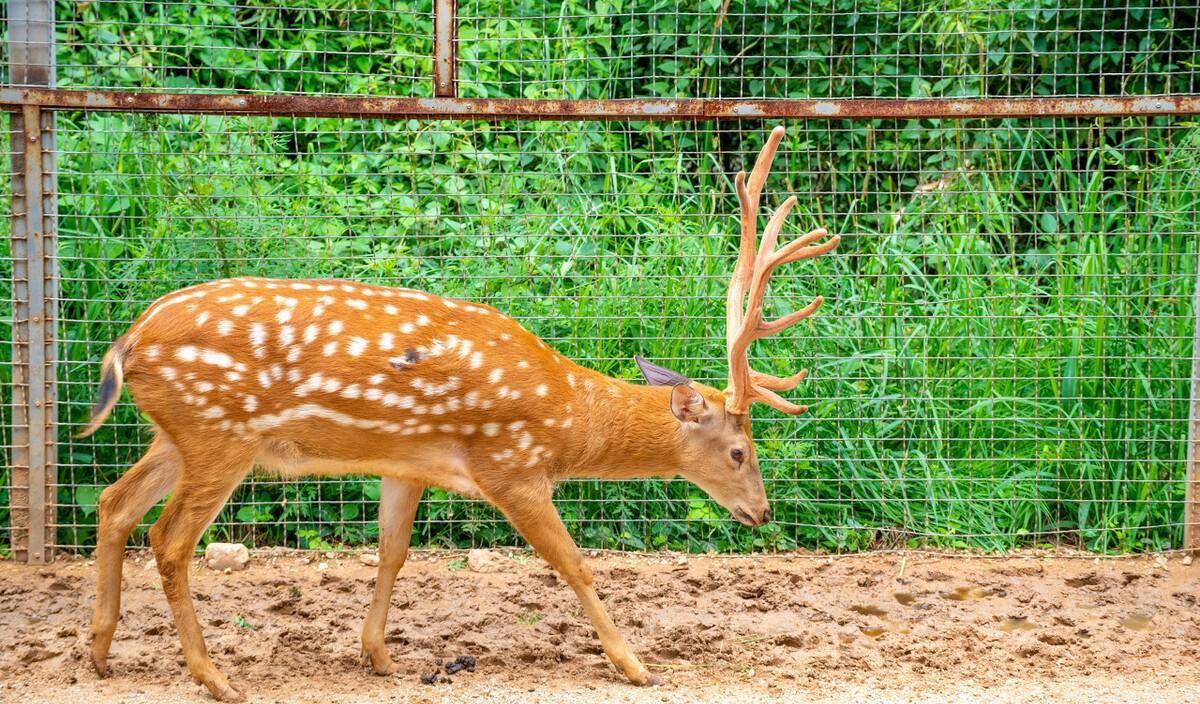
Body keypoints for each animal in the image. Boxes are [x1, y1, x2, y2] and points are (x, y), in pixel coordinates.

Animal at [79, 125, 840, 700]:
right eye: (740, 452)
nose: (761, 512)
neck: (567, 417)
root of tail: (128, 340)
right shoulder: (511, 466)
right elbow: (575, 564)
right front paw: (636, 665)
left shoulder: (407, 462)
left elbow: (393, 552)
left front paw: (378, 656)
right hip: (220, 433)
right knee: (169, 539)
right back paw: (214, 678)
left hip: (176, 434)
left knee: (114, 503)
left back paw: (100, 651)